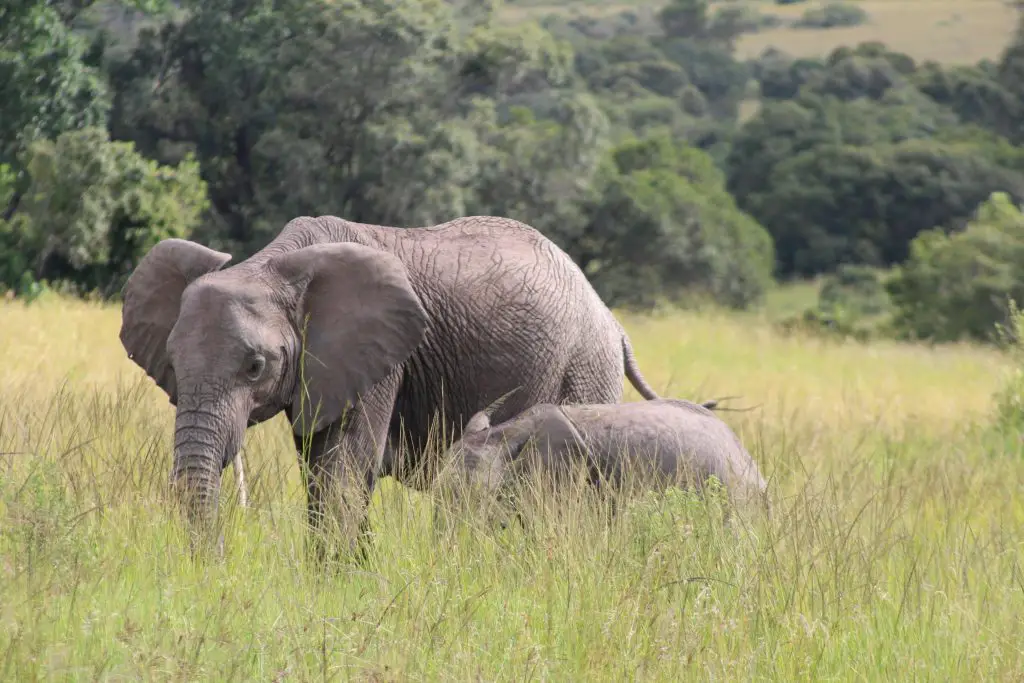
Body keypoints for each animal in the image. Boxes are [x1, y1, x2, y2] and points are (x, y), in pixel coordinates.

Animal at [119, 216, 659, 557]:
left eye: (255, 367)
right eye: (172, 363)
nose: (218, 562)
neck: (272, 266)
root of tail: (613, 321)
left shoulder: (378, 360)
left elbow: (345, 464)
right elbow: (319, 466)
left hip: (584, 369)